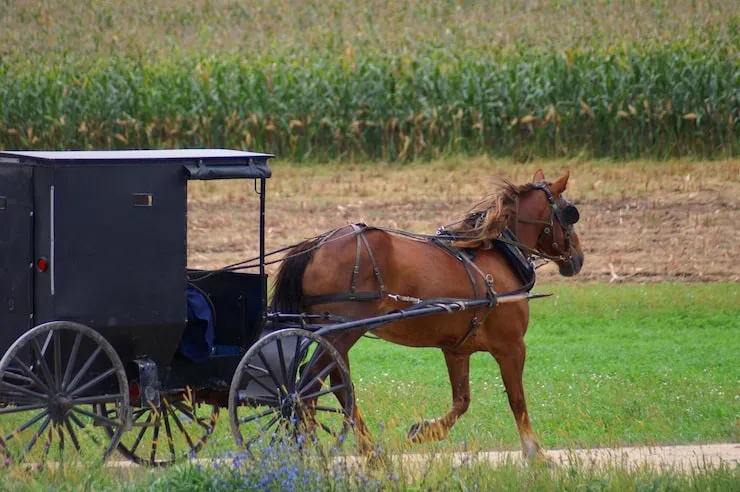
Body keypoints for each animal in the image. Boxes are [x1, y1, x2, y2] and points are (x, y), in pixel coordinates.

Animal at [268, 169, 584, 462]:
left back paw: (371, 452)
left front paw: (423, 431)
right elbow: (517, 400)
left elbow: (462, 401)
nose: (579, 259)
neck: (499, 255)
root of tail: (316, 245)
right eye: (570, 213)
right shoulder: (512, 346)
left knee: (338, 387)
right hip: (343, 331)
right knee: (309, 387)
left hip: (337, 334)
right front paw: (534, 453)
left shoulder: (457, 349)